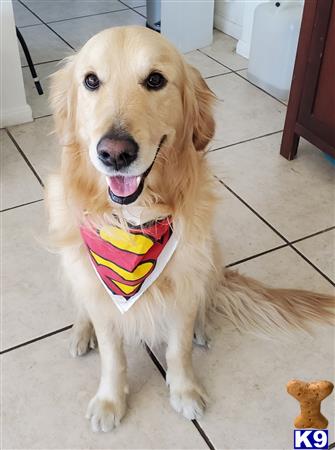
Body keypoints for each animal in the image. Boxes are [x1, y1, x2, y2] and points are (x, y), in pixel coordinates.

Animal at [46, 25, 334, 432]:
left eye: (155, 80)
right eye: (90, 81)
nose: (115, 153)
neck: (133, 220)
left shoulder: (183, 287)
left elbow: (178, 349)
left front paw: (184, 392)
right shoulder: (100, 292)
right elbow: (112, 354)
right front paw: (109, 400)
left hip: (210, 255)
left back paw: (201, 325)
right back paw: (80, 332)